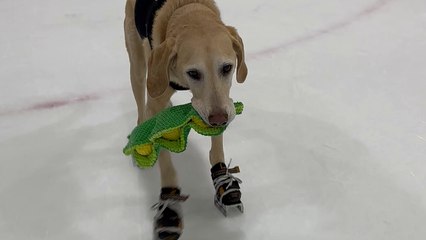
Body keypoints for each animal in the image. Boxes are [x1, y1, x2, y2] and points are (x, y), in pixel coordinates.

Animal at [123, 0, 248, 238]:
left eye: (227, 68)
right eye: (193, 73)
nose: (218, 119)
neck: (188, 10)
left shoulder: (222, 103)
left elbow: (217, 147)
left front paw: (222, 178)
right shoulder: (156, 100)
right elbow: (166, 161)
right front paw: (169, 206)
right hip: (138, 65)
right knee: (140, 105)